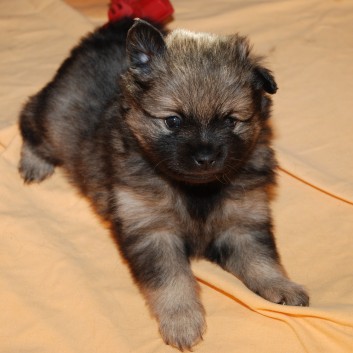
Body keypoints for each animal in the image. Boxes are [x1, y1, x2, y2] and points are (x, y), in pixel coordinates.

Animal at [17, 17, 308, 348]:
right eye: (173, 121)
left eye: (230, 120)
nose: (206, 157)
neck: (196, 189)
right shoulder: (153, 232)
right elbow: (172, 281)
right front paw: (182, 321)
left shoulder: (243, 223)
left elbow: (262, 260)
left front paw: (281, 285)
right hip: (55, 119)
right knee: (29, 115)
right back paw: (34, 162)